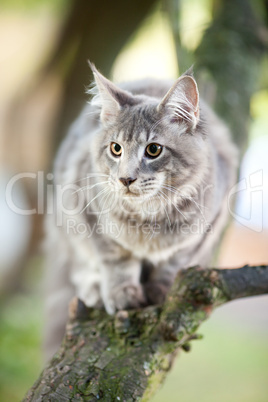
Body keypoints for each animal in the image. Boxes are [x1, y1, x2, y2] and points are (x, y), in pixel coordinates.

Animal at [43, 62, 237, 358]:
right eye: (116, 149)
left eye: (153, 150)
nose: (125, 179)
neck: (149, 216)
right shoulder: (91, 218)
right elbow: (116, 262)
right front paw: (122, 293)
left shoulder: (203, 231)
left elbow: (172, 264)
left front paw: (160, 291)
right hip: (65, 223)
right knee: (78, 268)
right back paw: (94, 291)